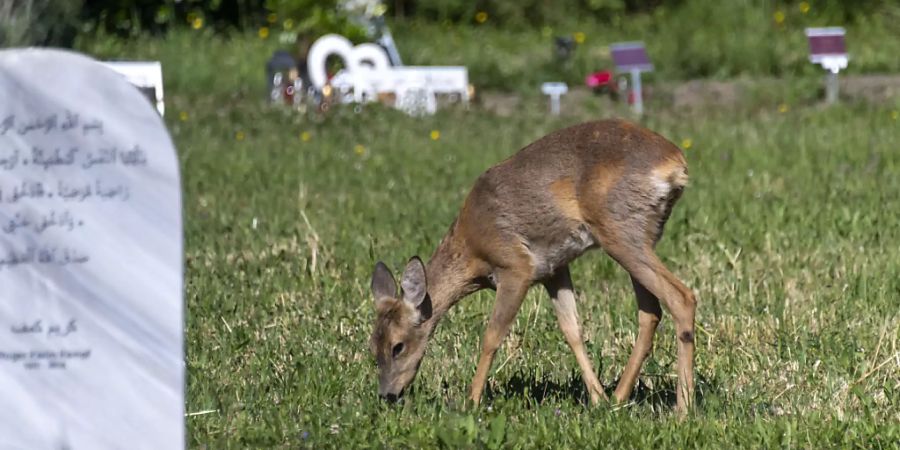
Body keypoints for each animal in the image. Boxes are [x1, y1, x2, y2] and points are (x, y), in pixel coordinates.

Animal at [366, 118, 696, 414]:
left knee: (681, 297)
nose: (387, 395)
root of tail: (675, 164)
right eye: (372, 347)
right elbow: (572, 330)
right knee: (651, 311)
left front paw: (471, 401)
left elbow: (492, 336)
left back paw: (682, 409)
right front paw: (596, 398)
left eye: (398, 346)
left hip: (620, 231)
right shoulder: (554, 269)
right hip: (642, 234)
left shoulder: (516, 267)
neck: (472, 250)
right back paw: (618, 398)